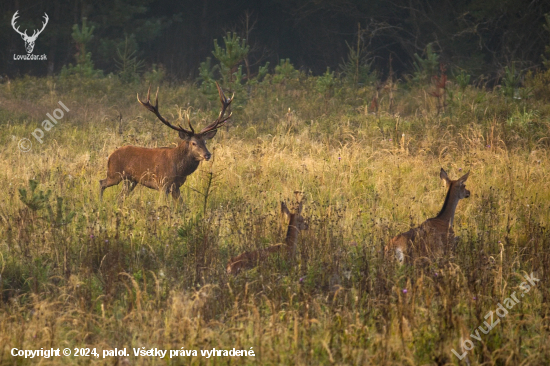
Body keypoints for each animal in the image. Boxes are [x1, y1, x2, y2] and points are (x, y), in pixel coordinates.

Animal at [100, 82, 234, 200]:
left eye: (205, 142)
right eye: (193, 143)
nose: (207, 155)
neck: (179, 169)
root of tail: (110, 156)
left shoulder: (176, 187)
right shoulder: (162, 184)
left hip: (130, 181)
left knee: (120, 197)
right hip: (114, 173)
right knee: (102, 182)